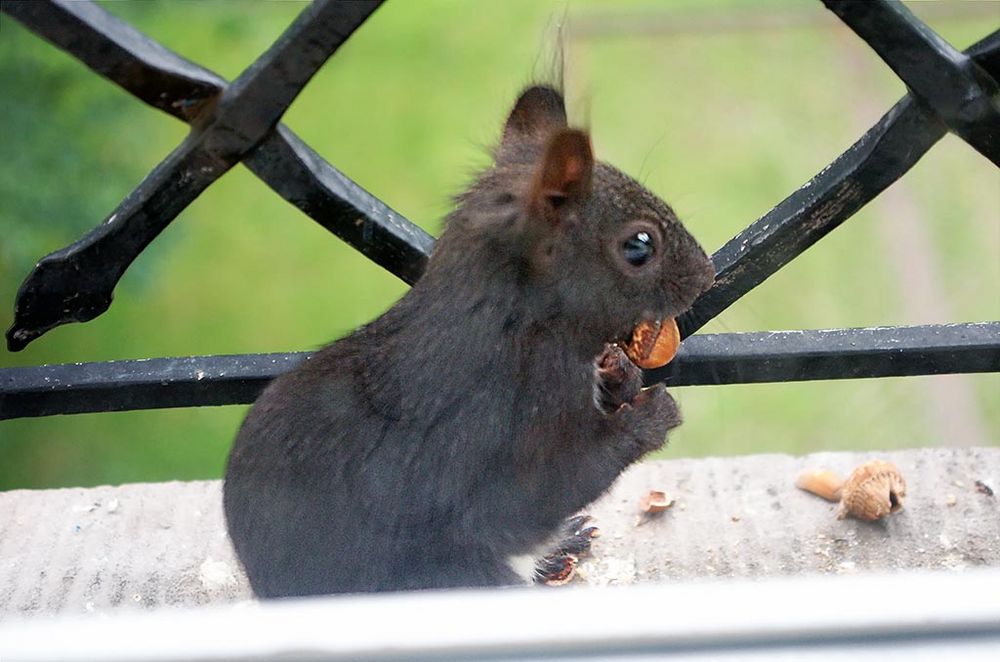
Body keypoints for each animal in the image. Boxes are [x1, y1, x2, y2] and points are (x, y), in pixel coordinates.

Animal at [223, 85, 716, 600]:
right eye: (639, 246)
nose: (708, 275)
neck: (516, 327)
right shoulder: (497, 430)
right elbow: (538, 492)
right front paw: (650, 414)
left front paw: (617, 371)